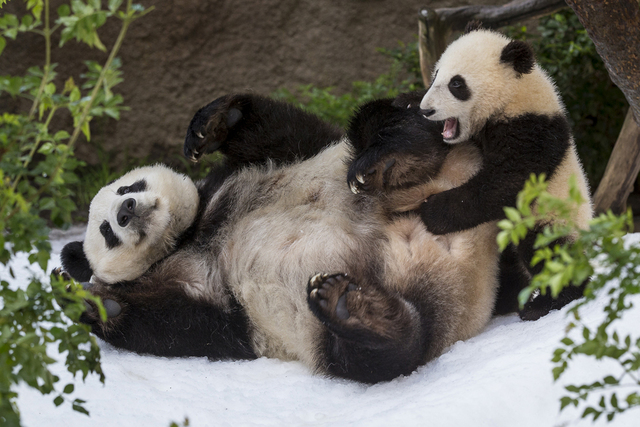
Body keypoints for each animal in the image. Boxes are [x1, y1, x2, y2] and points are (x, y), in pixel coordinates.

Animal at [60, 93, 501, 384]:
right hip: (341, 329)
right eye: (105, 231)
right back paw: (355, 308)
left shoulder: (266, 165)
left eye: (128, 186)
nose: (126, 210)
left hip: (400, 174)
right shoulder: (220, 305)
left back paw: (393, 158)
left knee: (383, 121)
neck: (190, 234)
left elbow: (279, 128)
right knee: (378, 355)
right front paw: (91, 300)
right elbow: (186, 327)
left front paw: (212, 123)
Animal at [416, 23, 594, 319]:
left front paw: (431, 210)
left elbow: (504, 184)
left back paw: (546, 302)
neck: (513, 94)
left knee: (547, 251)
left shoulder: (532, 132)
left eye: (457, 84)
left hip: (551, 215)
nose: (426, 110)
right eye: (436, 75)